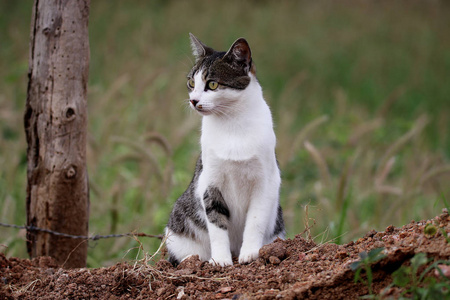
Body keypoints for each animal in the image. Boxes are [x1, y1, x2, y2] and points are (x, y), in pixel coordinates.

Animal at [165, 33, 284, 268]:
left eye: (212, 84)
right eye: (191, 83)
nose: (193, 100)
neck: (232, 124)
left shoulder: (265, 182)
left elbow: (255, 221)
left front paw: (250, 254)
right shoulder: (210, 182)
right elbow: (217, 225)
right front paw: (220, 260)